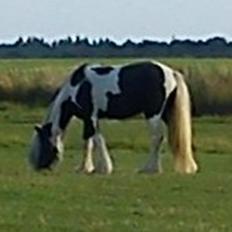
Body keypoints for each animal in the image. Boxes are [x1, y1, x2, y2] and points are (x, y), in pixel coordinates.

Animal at [28, 61, 198, 174]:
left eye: (43, 144)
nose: (40, 168)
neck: (77, 87)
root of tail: (171, 73)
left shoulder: (91, 117)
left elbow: (97, 139)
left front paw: (104, 168)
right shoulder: (88, 119)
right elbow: (88, 142)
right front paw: (85, 168)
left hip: (153, 115)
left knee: (156, 138)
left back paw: (149, 168)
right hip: (165, 114)